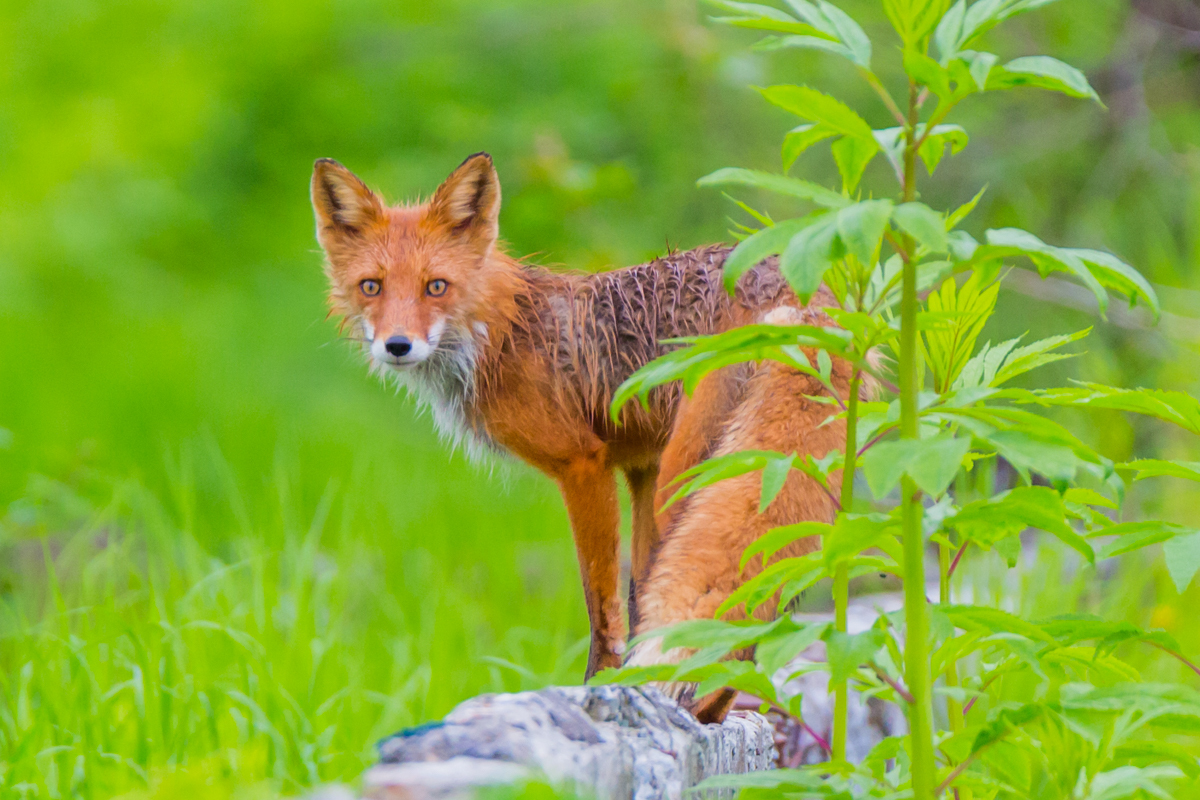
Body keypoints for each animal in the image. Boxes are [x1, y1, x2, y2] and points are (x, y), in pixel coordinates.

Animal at [314, 151, 849, 719]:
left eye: (435, 286)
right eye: (371, 286)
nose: (397, 345)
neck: (504, 332)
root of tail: (794, 286)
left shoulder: (584, 464)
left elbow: (604, 607)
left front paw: (602, 687)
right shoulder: (640, 465)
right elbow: (641, 593)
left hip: (688, 473)